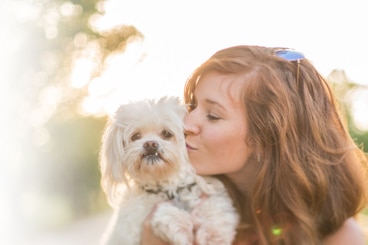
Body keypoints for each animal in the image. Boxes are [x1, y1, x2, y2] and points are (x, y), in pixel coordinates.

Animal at [99, 96, 240, 244]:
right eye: (135, 136)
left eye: (167, 134)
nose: (150, 144)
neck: (168, 187)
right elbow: (166, 213)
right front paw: (181, 226)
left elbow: (216, 207)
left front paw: (214, 233)